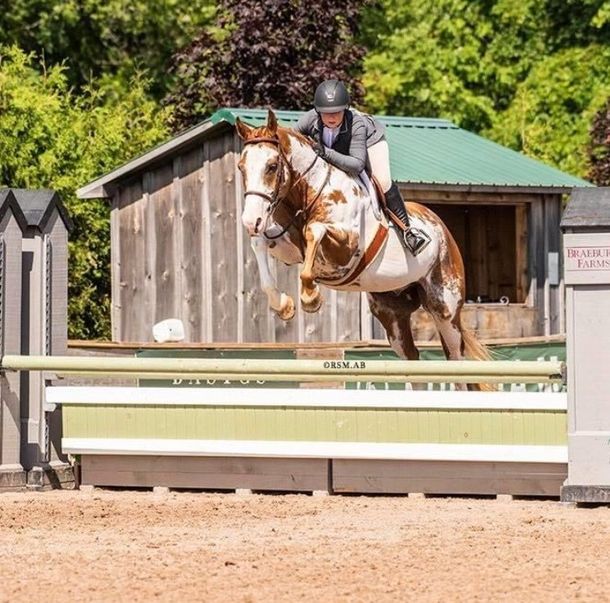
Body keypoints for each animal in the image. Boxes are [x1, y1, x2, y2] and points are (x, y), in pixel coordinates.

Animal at [235, 107, 486, 378]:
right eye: (241, 167)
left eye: (272, 166)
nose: (250, 221)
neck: (307, 193)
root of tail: (443, 229)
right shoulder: (289, 249)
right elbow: (259, 244)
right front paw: (283, 305)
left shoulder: (346, 248)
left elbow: (314, 230)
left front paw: (310, 298)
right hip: (391, 313)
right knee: (412, 356)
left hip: (445, 308)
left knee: (455, 358)